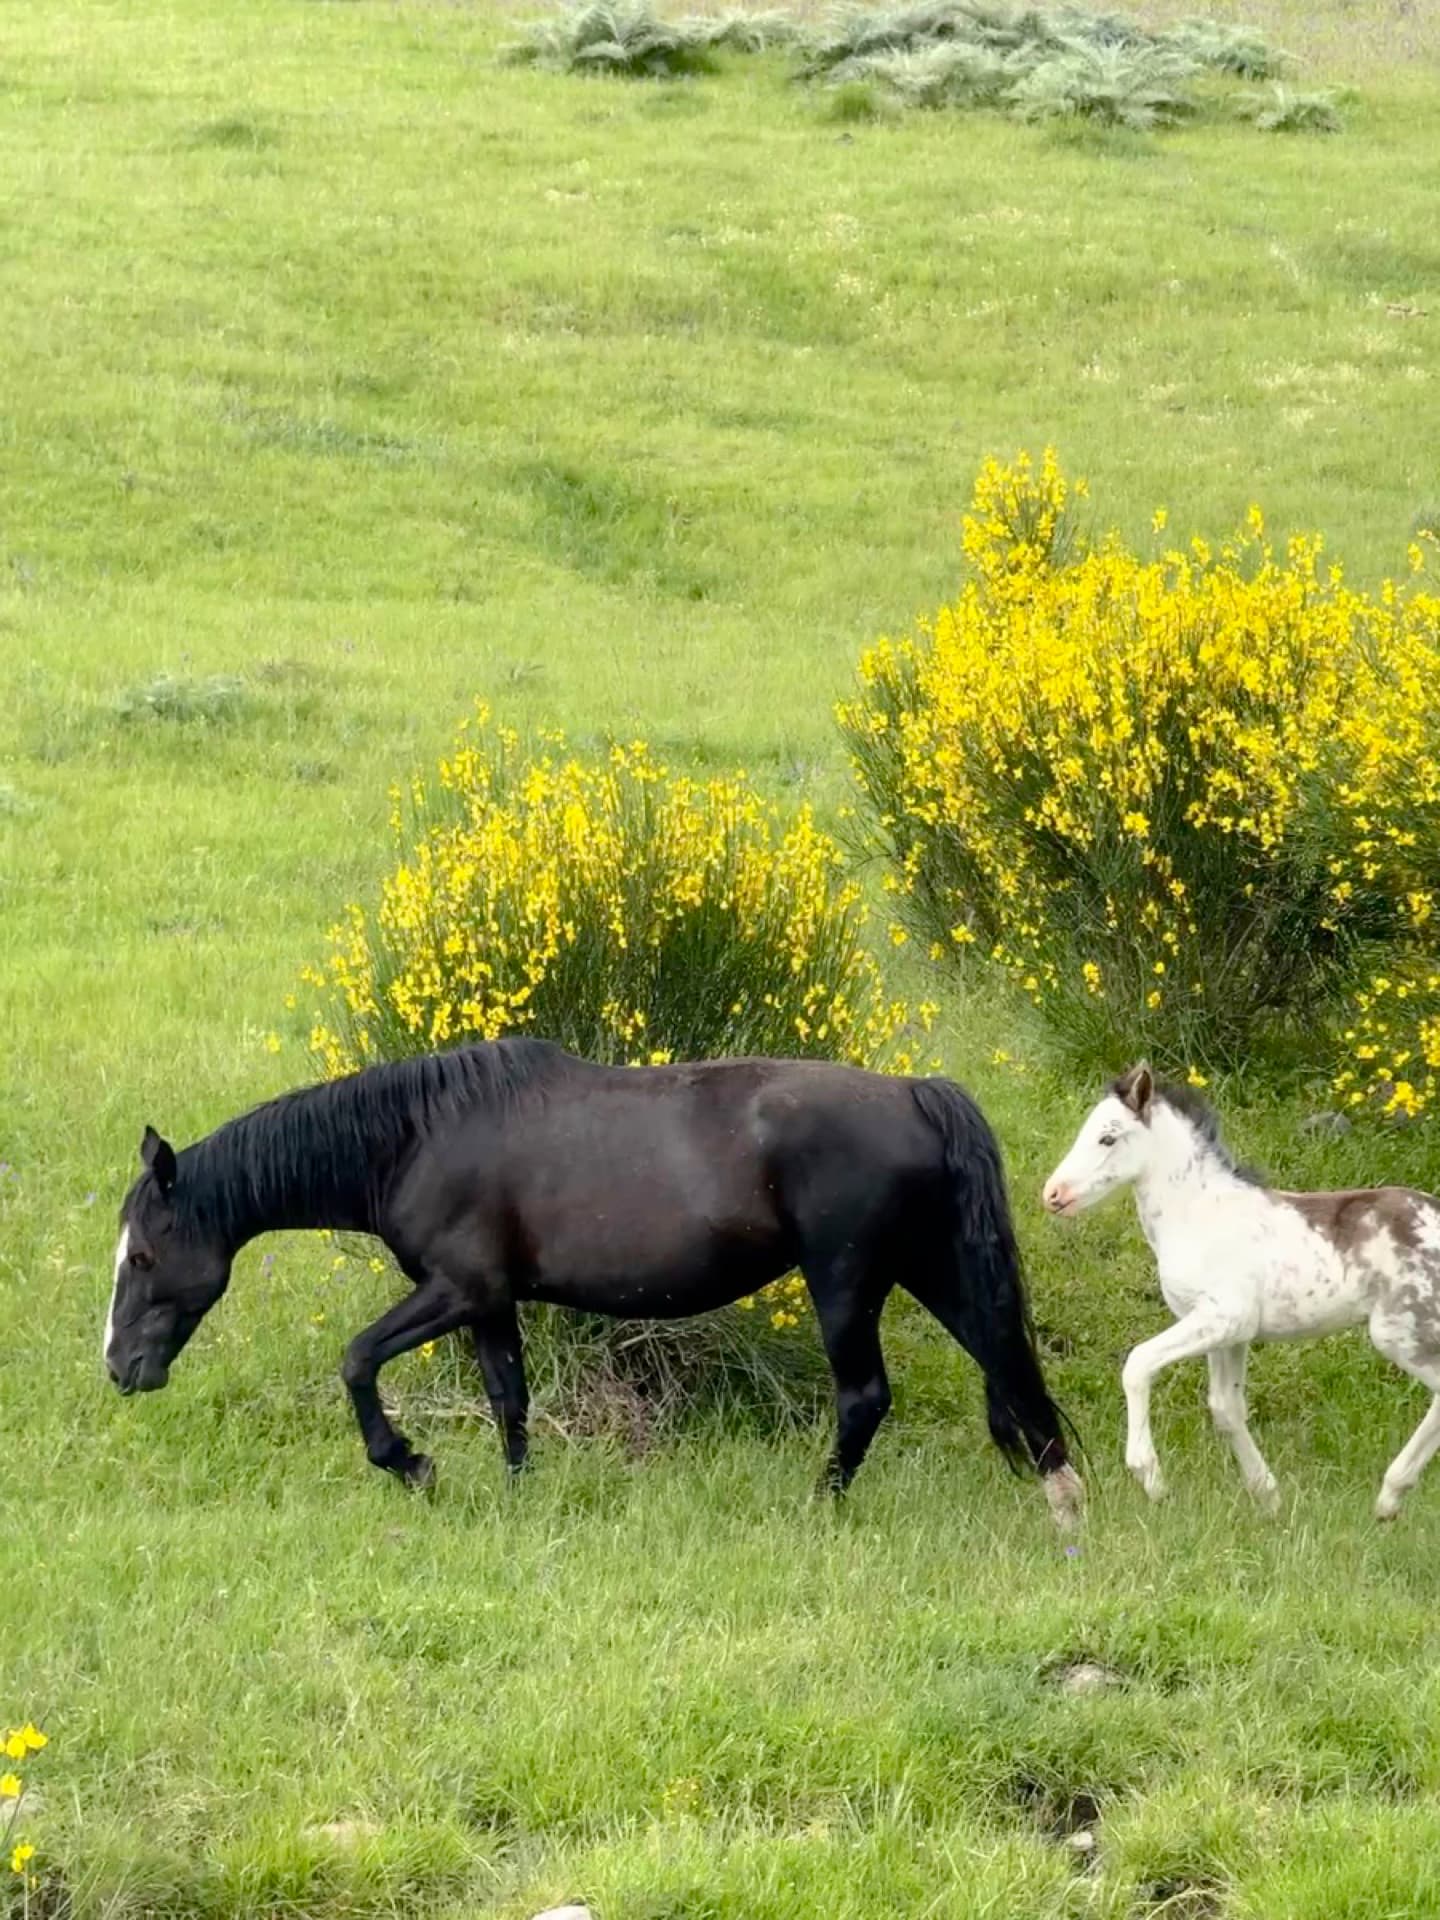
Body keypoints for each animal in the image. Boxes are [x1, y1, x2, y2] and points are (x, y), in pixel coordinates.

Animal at [104, 1038, 1083, 1524]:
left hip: (845, 1282)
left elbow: (356, 1361)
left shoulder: (457, 1290)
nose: (120, 1367)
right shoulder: (491, 1304)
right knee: (1006, 1365)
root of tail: (916, 1090)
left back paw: (820, 1505)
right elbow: (508, 1400)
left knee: (865, 1397)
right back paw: (1059, 1492)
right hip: (931, 1268)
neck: (416, 1137)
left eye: (144, 1257)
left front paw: (411, 1464)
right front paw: (515, 1499)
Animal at [1043, 1062, 1440, 1520]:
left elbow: (1138, 1363)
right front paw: (1268, 1498)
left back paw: (1390, 1495)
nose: (1052, 1194)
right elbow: (1226, 1409)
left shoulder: (1223, 1316)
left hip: (1400, 1333)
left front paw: (1151, 1478)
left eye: (1107, 1137)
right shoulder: (1230, 1334)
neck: (1196, 1214)